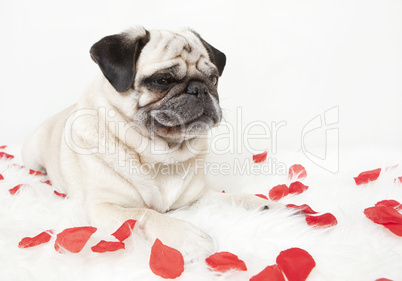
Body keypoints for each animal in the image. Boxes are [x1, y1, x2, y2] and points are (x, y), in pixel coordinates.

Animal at [22, 26, 280, 256]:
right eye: (163, 80)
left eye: (213, 79)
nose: (200, 89)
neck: (162, 153)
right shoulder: (104, 207)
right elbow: (145, 214)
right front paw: (186, 235)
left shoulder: (197, 198)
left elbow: (229, 198)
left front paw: (263, 205)